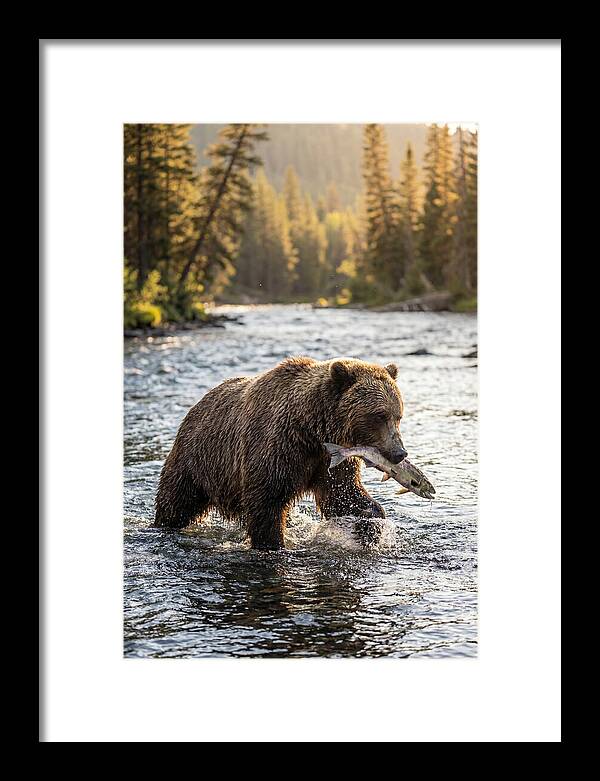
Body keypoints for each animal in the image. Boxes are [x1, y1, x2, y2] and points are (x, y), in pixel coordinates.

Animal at [154, 356, 408, 550]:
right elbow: (266, 502)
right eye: (379, 415)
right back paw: (163, 525)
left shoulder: (330, 459)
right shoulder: (278, 447)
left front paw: (371, 524)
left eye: (398, 415)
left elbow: (342, 494)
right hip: (197, 460)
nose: (400, 453)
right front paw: (272, 543)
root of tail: (196, 405)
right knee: (176, 501)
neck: (311, 430)